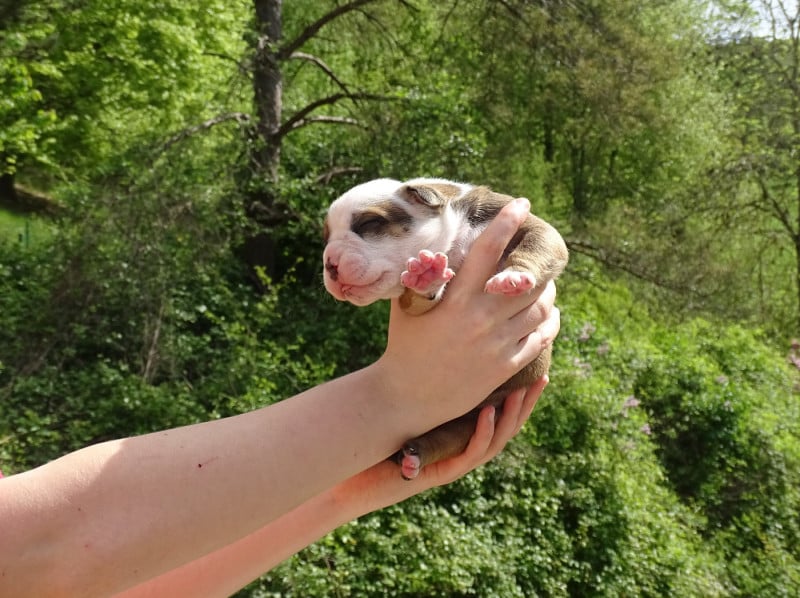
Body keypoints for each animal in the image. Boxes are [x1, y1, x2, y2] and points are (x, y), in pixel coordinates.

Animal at [323, 177, 568, 479]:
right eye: (326, 237)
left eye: (369, 223)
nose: (329, 264)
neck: (456, 242)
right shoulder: (409, 296)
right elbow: (417, 299)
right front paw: (425, 278)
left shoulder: (521, 221)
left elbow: (539, 241)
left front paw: (513, 275)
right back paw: (413, 457)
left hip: (483, 414)